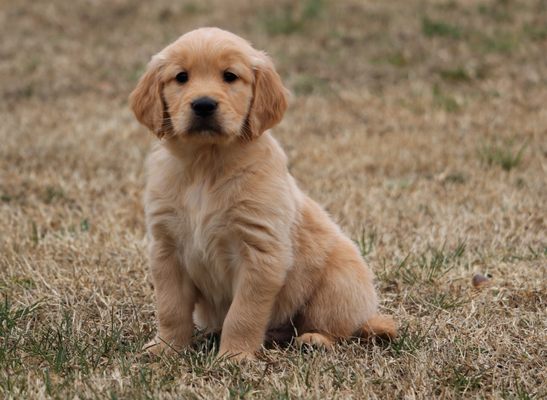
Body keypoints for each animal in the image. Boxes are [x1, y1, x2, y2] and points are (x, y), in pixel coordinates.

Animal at [131, 27, 396, 360]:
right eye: (181, 77)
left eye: (230, 76)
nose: (203, 104)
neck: (206, 166)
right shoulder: (167, 249)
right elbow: (171, 308)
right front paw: (166, 347)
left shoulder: (261, 252)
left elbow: (244, 313)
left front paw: (234, 356)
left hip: (338, 283)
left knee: (336, 327)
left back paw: (315, 340)